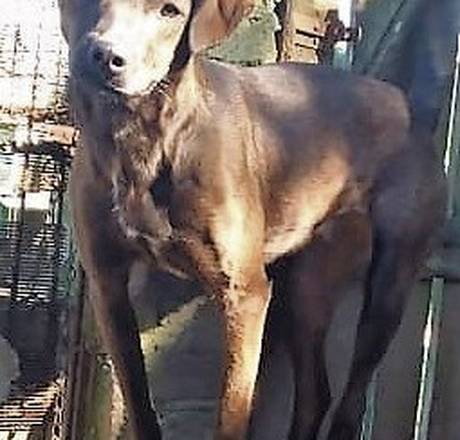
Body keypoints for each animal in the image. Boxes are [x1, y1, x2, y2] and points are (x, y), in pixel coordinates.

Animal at [58, 0, 446, 439]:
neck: (143, 139)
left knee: (351, 403)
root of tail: (410, 108)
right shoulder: (108, 286)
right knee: (316, 395)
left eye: (170, 11)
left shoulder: (244, 293)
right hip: (306, 287)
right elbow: (139, 402)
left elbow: (232, 410)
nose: (106, 57)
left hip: (388, 285)